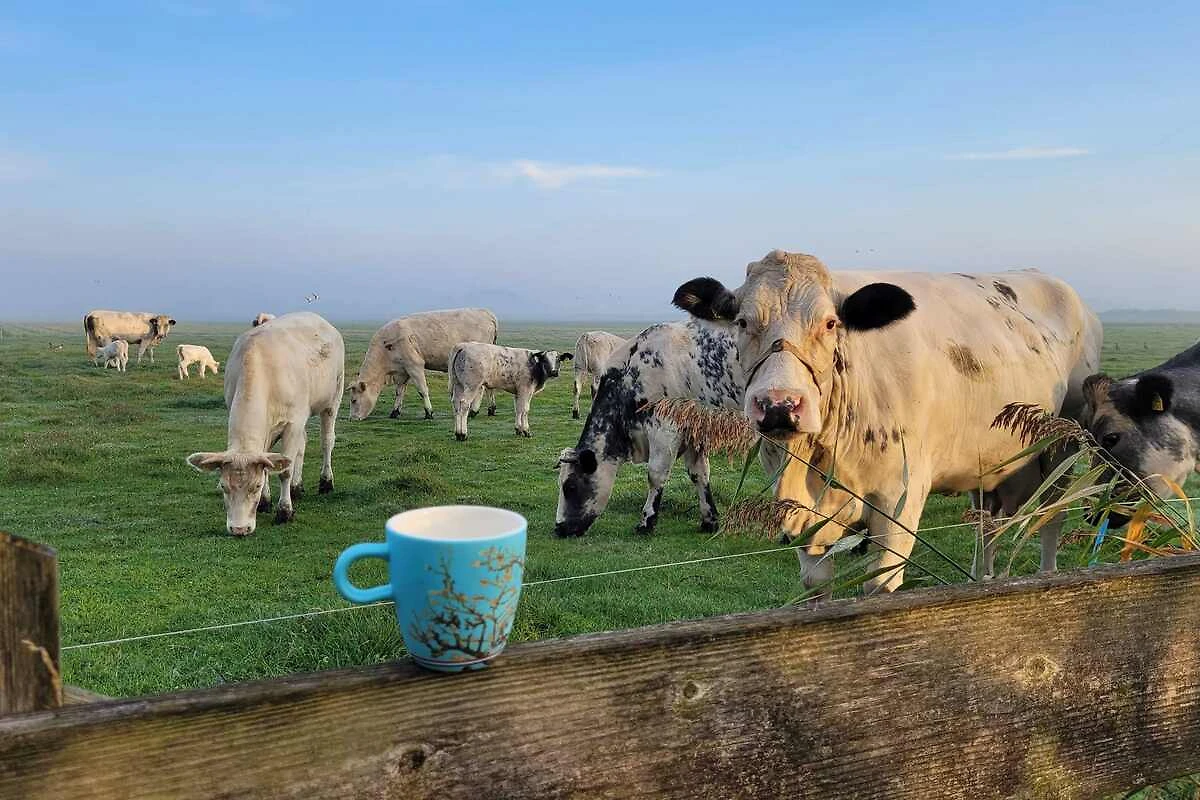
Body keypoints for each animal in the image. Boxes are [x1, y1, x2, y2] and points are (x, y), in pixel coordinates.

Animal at [186, 312, 344, 536]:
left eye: (256, 487)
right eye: (223, 486)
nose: (239, 529)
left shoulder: (293, 422)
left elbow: (284, 470)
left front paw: (284, 511)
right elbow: (269, 462)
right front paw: (265, 502)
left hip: (333, 398)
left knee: (327, 441)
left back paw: (326, 482)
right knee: (302, 446)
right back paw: (297, 487)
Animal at [349, 308, 499, 421]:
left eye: (354, 400)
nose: (352, 418)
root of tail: (487, 313)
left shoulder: (414, 365)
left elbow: (422, 390)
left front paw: (428, 412)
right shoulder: (402, 370)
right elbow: (399, 392)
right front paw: (395, 411)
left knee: (481, 388)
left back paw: (474, 410)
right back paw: (491, 409)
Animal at [555, 321, 744, 537]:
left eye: (569, 487)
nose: (558, 527)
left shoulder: (664, 430)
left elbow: (655, 475)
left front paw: (647, 521)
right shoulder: (694, 432)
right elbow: (699, 473)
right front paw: (709, 520)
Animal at [673, 249, 1102, 593]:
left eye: (830, 323)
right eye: (743, 322)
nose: (779, 405)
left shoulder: (900, 502)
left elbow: (880, 584)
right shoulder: (804, 517)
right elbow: (815, 584)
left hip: (1062, 449)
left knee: (1052, 517)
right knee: (988, 528)